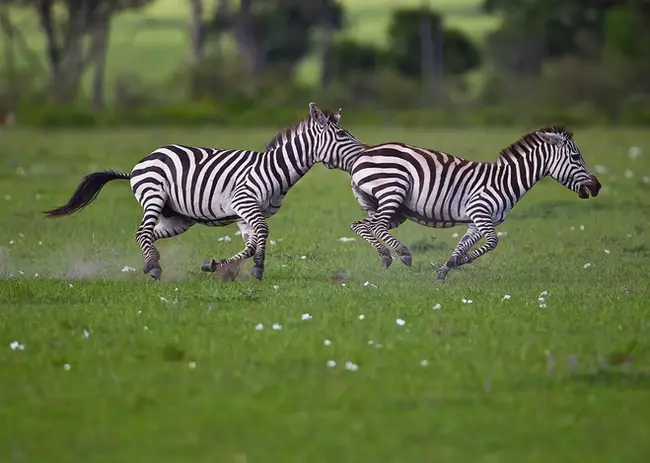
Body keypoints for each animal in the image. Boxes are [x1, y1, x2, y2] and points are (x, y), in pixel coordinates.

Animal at [42, 102, 365, 281]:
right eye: (341, 135)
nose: (363, 153)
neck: (274, 170)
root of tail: (139, 165)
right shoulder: (245, 203)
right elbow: (262, 234)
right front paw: (257, 268)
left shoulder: (245, 214)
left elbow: (251, 243)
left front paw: (218, 266)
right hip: (153, 196)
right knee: (142, 231)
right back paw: (153, 267)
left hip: (178, 217)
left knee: (149, 234)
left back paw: (150, 263)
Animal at [345, 125, 602, 281]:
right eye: (576, 157)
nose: (597, 186)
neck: (505, 181)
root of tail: (365, 153)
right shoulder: (480, 212)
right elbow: (492, 243)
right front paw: (459, 263)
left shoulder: (477, 222)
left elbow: (463, 245)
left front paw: (445, 269)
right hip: (392, 191)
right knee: (376, 226)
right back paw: (403, 254)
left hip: (391, 207)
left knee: (360, 225)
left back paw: (385, 255)